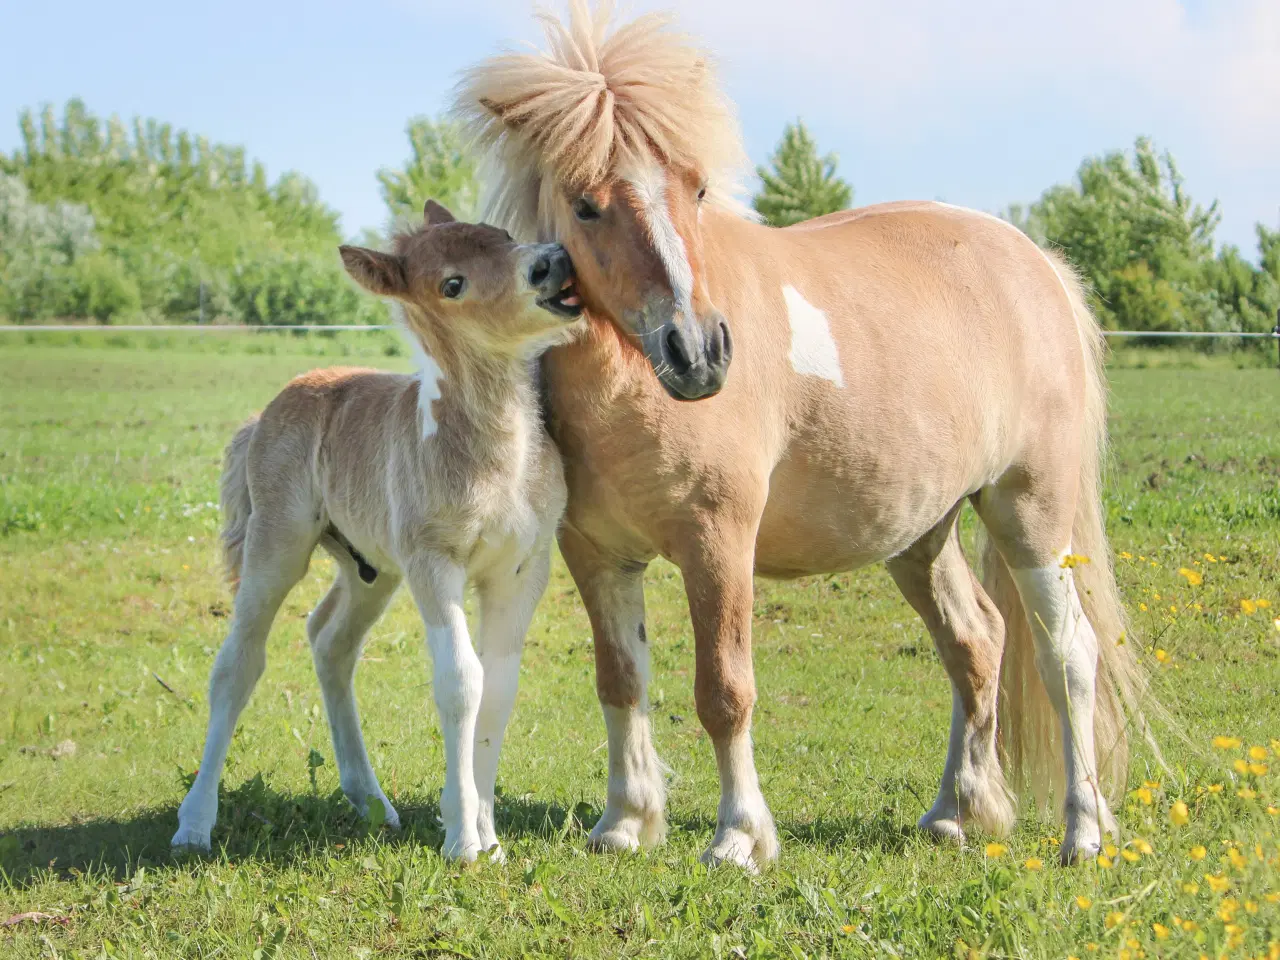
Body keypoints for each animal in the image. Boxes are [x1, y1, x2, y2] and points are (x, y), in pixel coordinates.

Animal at [170, 199, 586, 860]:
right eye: (452, 285)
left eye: (500, 235)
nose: (550, 263)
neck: (500, 460)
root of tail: (268, 411)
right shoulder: (433, 563)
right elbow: (460, 681)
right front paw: (462, 838)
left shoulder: (522, 569)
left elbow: (498, 688)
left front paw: (489, 834)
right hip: (278, 545)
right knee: (238, 663)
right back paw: (194, 823)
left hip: (371, 570)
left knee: (330, 643)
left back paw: (369, 800)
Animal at [453, 1, 1152, 870]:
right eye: (585, 204)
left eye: (697, 187)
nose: (699, 352)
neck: (626, 390)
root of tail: (1037, 264)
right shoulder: (597, 553)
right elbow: (620, 681)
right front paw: (624, 823)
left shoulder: (719, 542)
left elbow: (724, 691)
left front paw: (738, 837)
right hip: (922, 534)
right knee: (976, 642)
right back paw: (957, 812)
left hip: (1031, 515)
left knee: (1069, 656)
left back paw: (1082, 831)